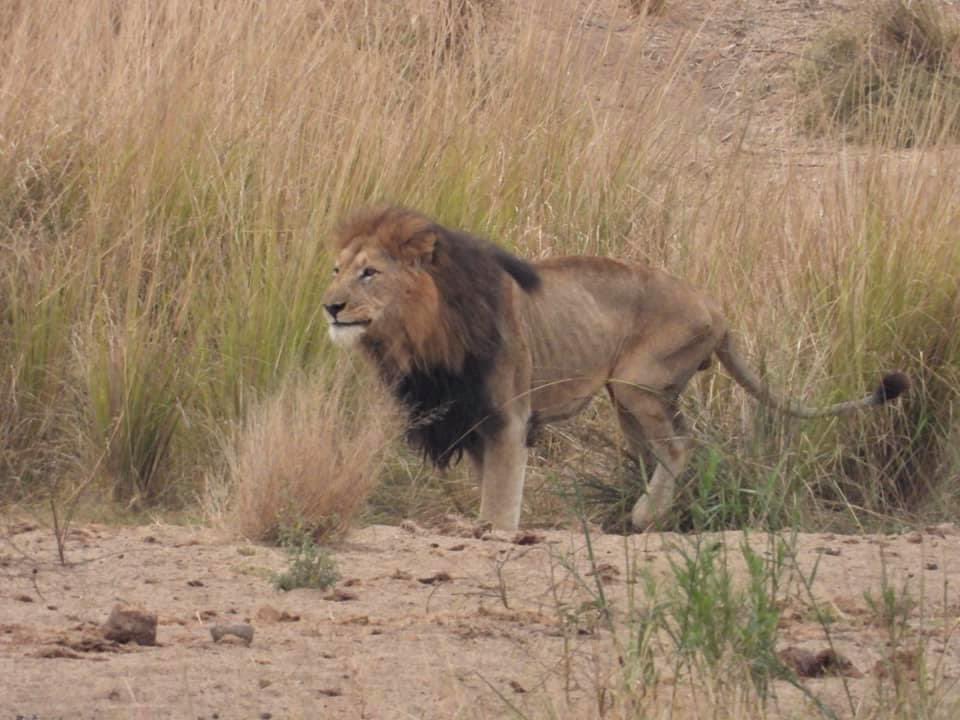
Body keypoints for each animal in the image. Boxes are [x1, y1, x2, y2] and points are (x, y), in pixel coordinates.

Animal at [321, 206, 909, 531]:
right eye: (336, 270)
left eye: (370, 273)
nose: (329, 306)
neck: (420, 330)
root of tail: (717, 308)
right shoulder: (470, 419)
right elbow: (491, 487)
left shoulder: (507, 416)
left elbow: (502, 498)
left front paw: (493, 531)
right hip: (631, 398)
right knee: (666, 450)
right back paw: (653, 514)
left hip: (636, 383)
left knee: (680, 447)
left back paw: (644, 517)